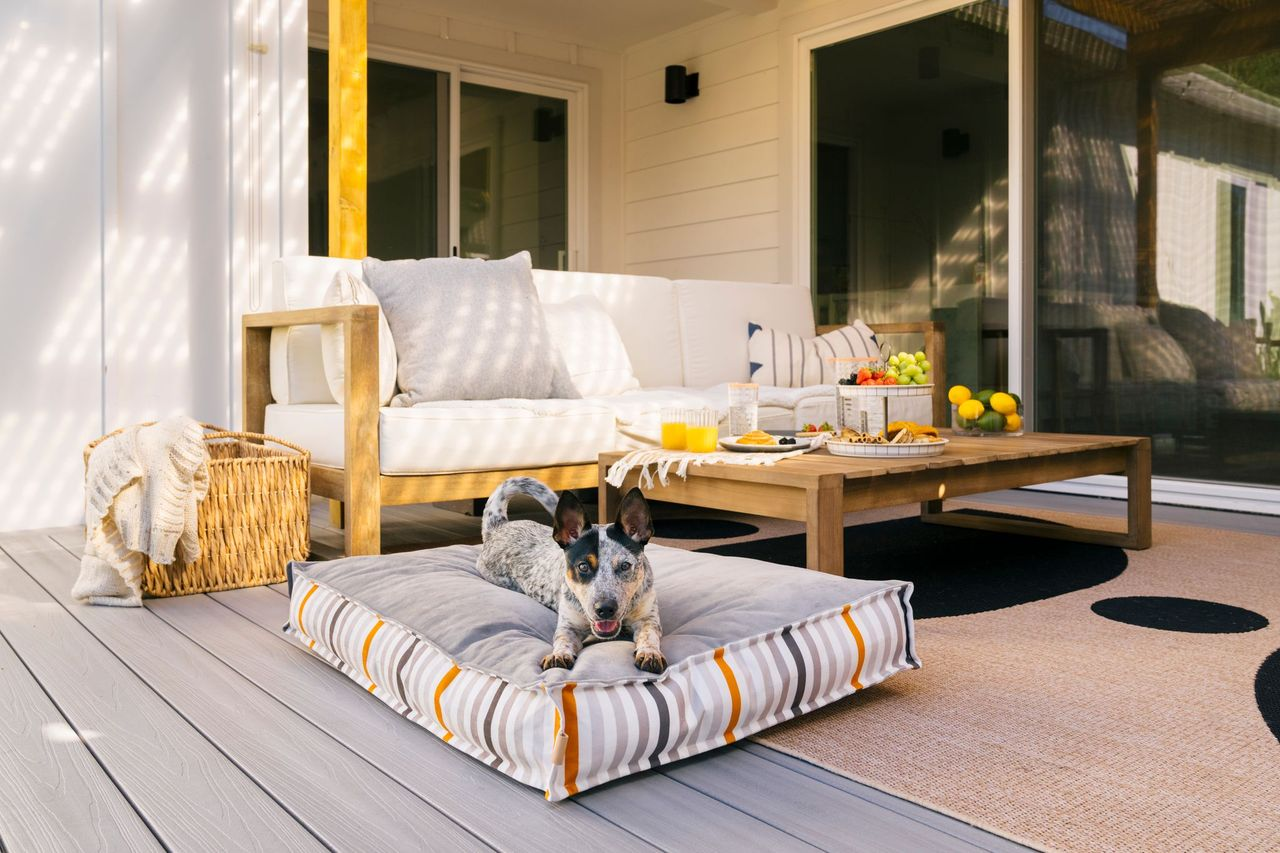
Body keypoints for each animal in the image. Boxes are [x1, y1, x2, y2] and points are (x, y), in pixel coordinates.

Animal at [478, 471, 670, 671]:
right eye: (583, 566)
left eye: (625, 565)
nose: (605, 609)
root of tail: (498, 527)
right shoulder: (568, 626)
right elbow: (563, 639)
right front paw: (559, 654)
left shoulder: (648, 619)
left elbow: (649, 636)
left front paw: (650, 653)